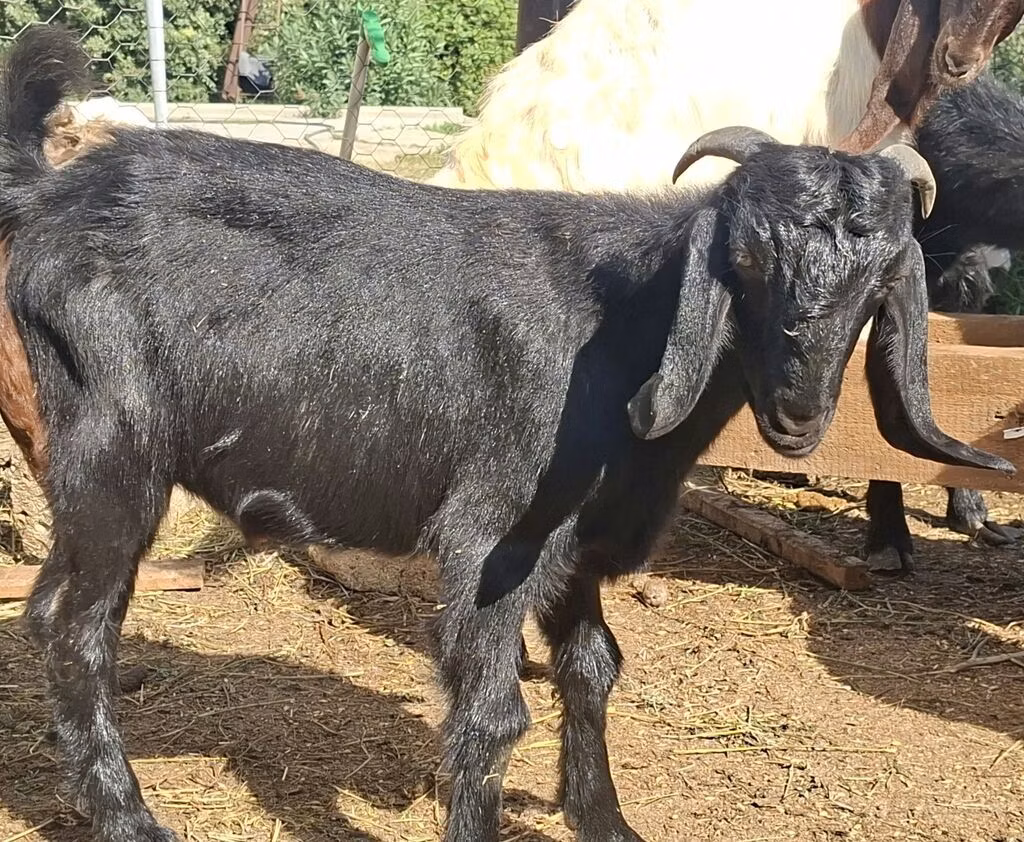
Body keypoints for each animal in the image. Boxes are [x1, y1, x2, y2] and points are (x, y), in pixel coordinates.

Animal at [1, 28, 1013, 842]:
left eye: (879, 281)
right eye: (747, 259)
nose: (800, 415)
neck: (622, 331)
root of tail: (46, 197)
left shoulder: (581, 544)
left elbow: (595, 668)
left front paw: (604, 820)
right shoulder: (492, 538)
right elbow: (491, 716)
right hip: (110, 449)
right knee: (73, 626)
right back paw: (128, 818)